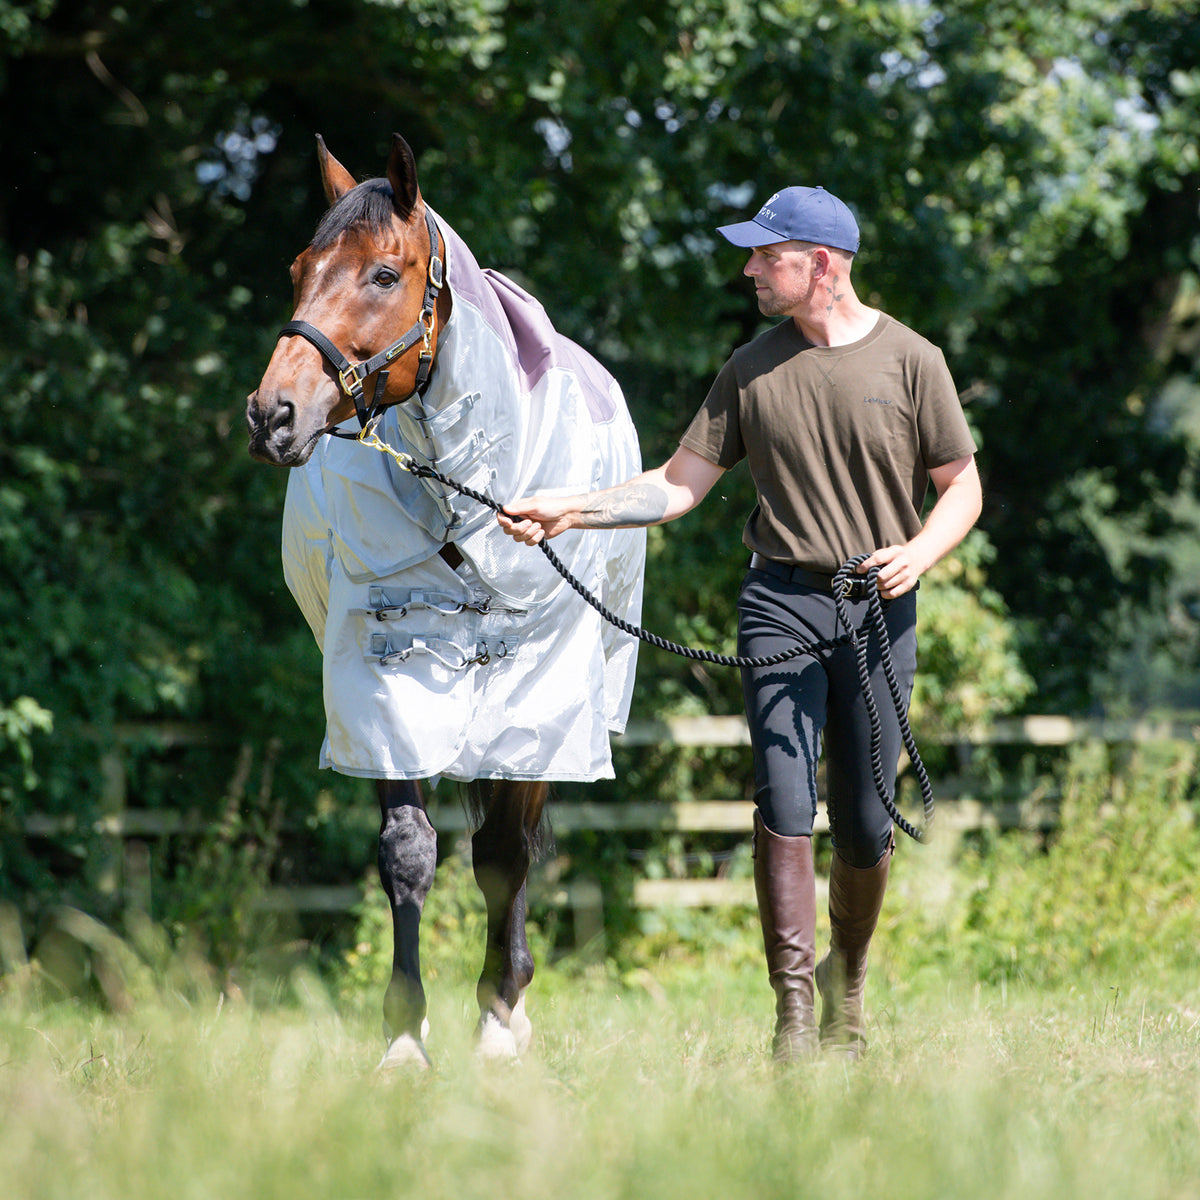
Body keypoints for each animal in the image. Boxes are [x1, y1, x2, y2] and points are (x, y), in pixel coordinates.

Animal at [246, 134, 645, 1069]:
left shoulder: (542, 685)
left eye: (384, 274)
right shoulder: (375, 673)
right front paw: (404, 1037)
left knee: (517, 842)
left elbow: (503, 854)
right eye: (300, 268)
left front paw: (497, 1018)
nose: (272, 414)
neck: (467, 486)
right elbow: (407, 850)